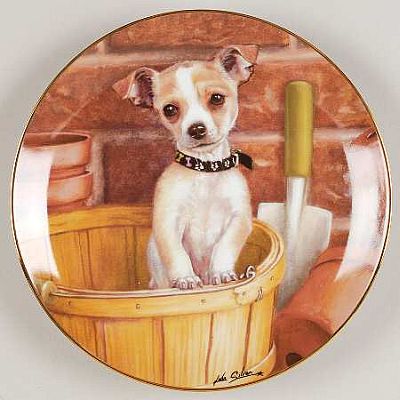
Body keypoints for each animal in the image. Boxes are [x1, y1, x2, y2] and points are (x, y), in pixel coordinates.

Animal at [114, 45, 258, 289]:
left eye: (217, 98)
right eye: (170, 110)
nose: (196, 129)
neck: (205, 168)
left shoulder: (239, 218)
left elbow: (225, 246)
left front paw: (220, 272)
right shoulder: (168, 221)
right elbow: (176, 253)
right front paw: (186, 278)